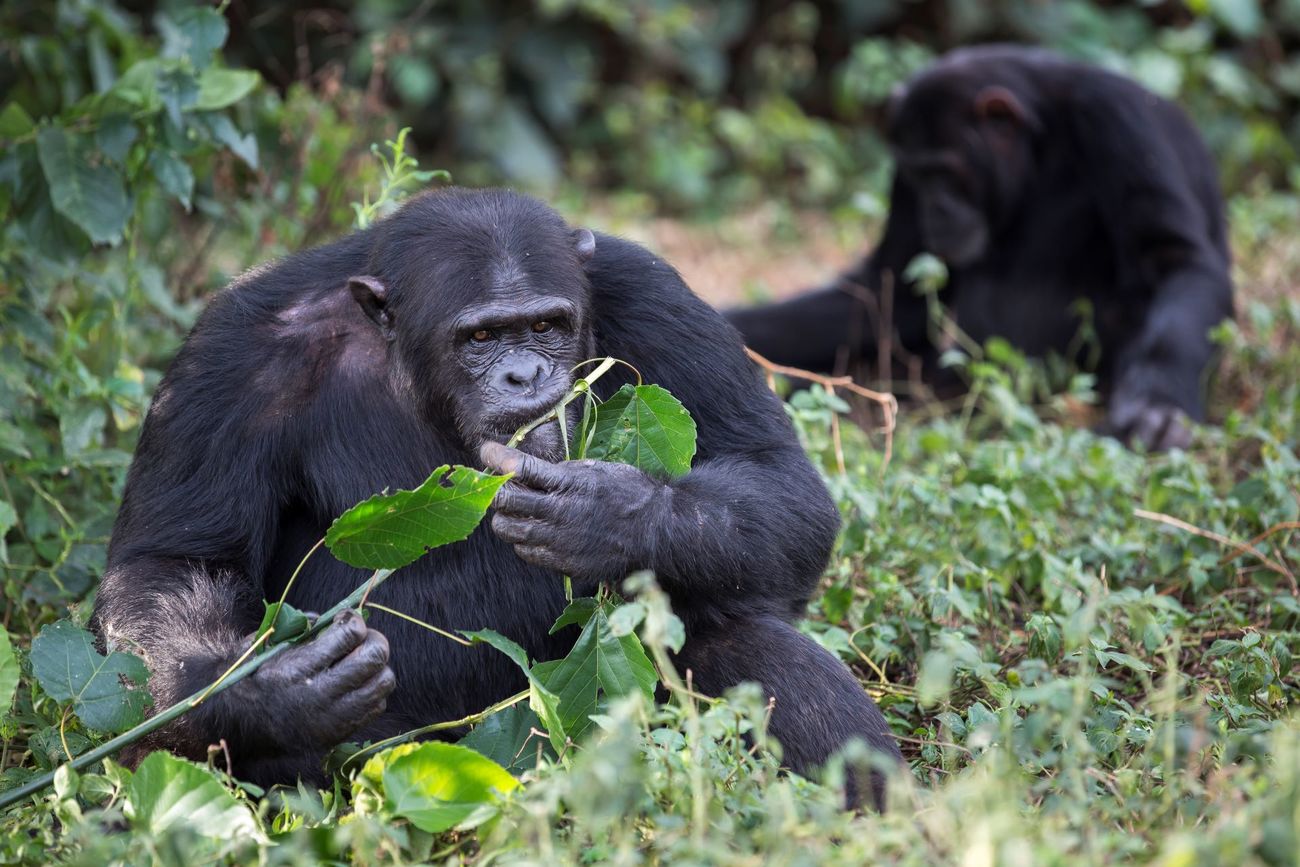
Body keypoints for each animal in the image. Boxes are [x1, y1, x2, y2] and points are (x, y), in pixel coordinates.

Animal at [94, 188, 904, 805]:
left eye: (545, 325)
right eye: (480, 338)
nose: (524, 375)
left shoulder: (656, 294)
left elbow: (774, 473)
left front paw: (606, 517)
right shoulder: (229, 356)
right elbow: (176, 560)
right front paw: (276, 688)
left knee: (751, 643)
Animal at [728, 44, 1232, 452]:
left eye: (947, 172)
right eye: (920, 174)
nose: (934, 208)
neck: (1039, 146)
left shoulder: (1119, 121)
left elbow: (1172, 261)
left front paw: (1156, 409)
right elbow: (887, 295)